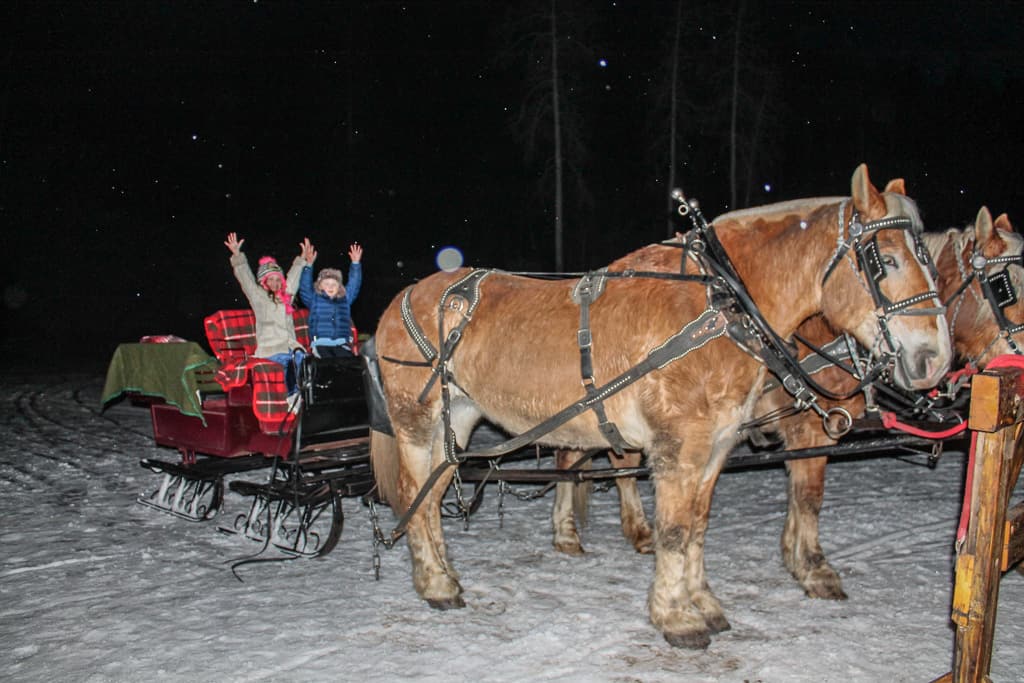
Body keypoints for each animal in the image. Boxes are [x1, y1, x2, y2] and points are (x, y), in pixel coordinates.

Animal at [370, 162, 950, 651]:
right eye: (885, 260)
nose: (934, 358)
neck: (718, 308)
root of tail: (400, 300)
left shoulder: (717, 445)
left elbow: (696, 524)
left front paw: (705, 603)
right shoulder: (680, 446)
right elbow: (673, 528)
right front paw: (678, 618)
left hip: (456, 425)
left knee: (432, 495)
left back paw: (445, 575)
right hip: (417, 422)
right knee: (414, 494)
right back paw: (435, 584)